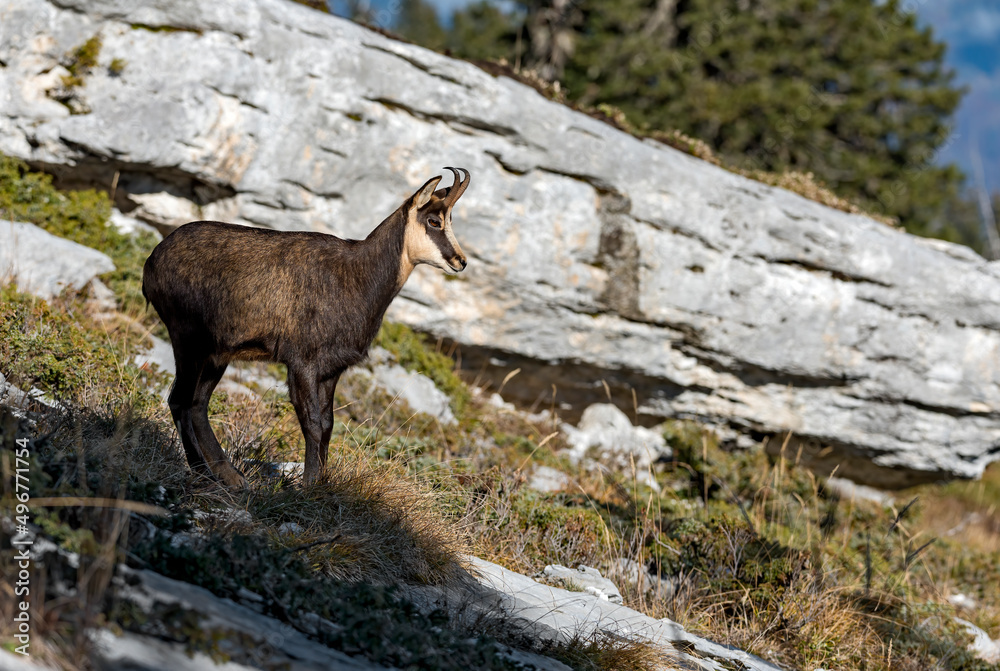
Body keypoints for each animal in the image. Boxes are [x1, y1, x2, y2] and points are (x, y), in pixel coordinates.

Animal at [142, 168, 470, 487]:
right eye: (434, 221)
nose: (461, 261)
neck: (358, 275)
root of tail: (152, 261)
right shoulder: (302, 362)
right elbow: (312, 422)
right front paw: (309, 486)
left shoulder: (331, 369)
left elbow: (327, 424)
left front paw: (320, 484)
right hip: (188, 338)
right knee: (180, 401)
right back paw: (204, 473)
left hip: (215, 354)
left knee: (197, 403)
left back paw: (231, 477)